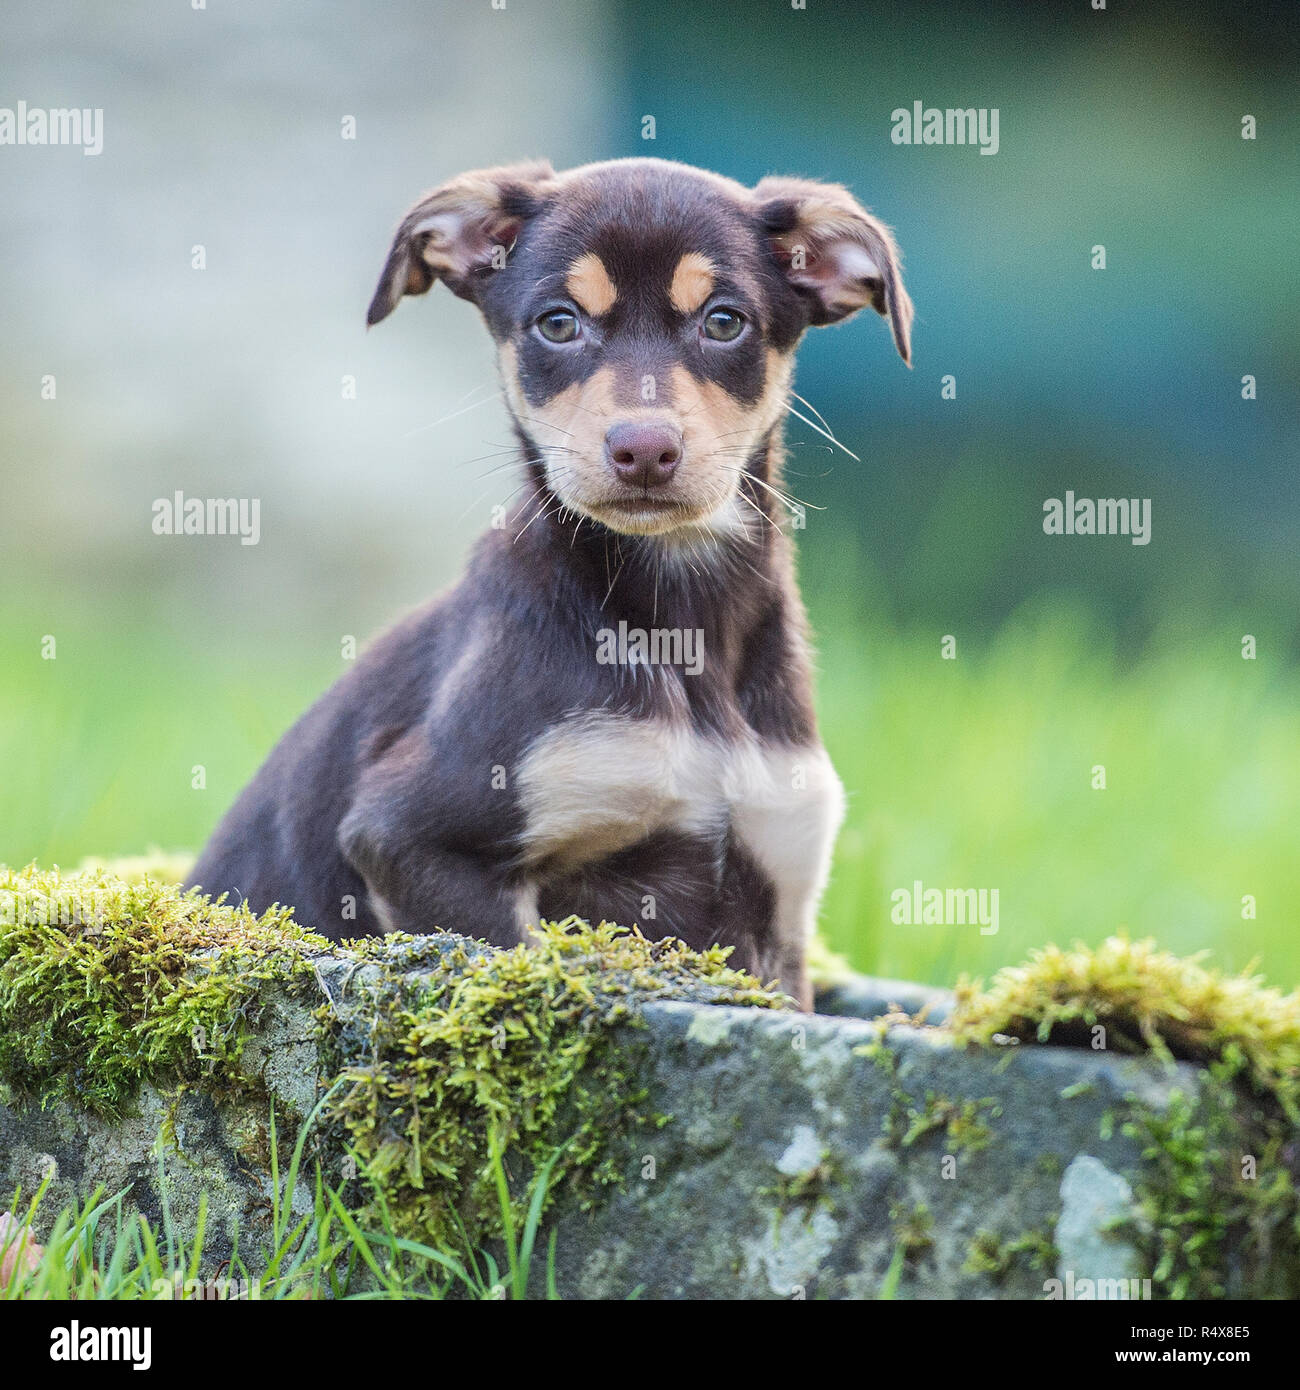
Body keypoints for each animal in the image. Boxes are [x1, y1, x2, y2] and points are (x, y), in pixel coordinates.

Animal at [190, 157, 917, 1006]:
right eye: (559, 324)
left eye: (725, 322)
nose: (644, 451)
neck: (680, 619)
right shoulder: (413, 840)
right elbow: (515, 964)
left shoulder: (778, 897)